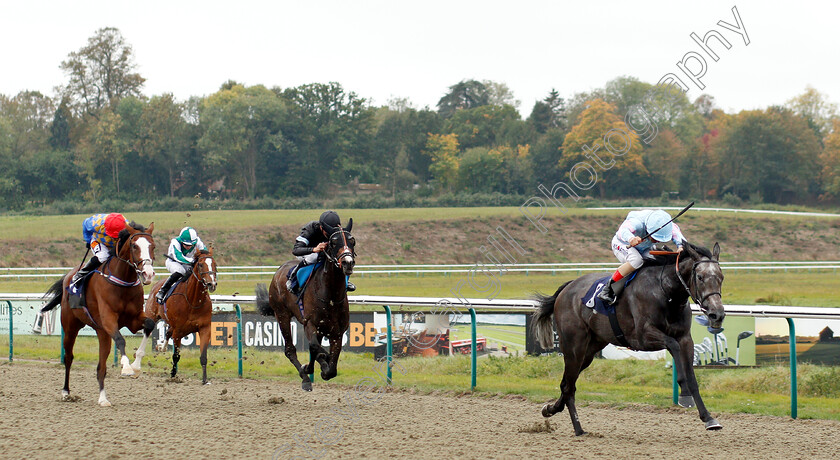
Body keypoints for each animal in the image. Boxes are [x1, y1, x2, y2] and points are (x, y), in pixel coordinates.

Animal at [41, 223, 157, 406]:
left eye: (153, 246)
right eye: (134, 246)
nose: (148, 274)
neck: (123, 281)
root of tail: (68, 275)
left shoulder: (133, 319)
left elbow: (150, 325)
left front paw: (136, 365)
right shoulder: (108, 319)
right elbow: (120, 339)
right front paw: (126, 367)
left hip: (101, 332)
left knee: (101, 367)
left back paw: (103, 398)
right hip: (71, 327)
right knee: (69, 357)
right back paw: (66, 392)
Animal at [145, 248, 218, 384]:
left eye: (215, 264)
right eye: (201, 264)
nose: (212, 284)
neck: (193, 301)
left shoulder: (205, 329)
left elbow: (203, 356)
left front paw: (205, 380)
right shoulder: (178, 332)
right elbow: (176, 356)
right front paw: (173, 374)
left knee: (168, 332)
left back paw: (162, 347)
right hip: (152, 316)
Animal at [256, 217, 354, 390]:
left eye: (352, 240)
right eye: (333, 242)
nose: (347, 262)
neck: (330, 295)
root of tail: (278, 271)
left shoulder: (337, 331)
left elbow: (331, 368)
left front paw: (321, 367)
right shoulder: (310, 323)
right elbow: (316, 349)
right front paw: (316, 364)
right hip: (282, 315)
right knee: (290, 349)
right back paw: (306, 378)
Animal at [536, 243, 724, 436]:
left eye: (721, 277)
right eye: (700, 277)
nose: (717, 314)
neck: (665, 291)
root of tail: (567, 288)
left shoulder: (685, 338)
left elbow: (692, 377)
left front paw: (708, 418)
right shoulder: (642, 337)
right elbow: (674, 347)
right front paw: (684, 392)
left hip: (590, 350)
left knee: (567, 383)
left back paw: (550, 409)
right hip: (574, 347)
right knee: (569, 386)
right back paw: (578, 429)